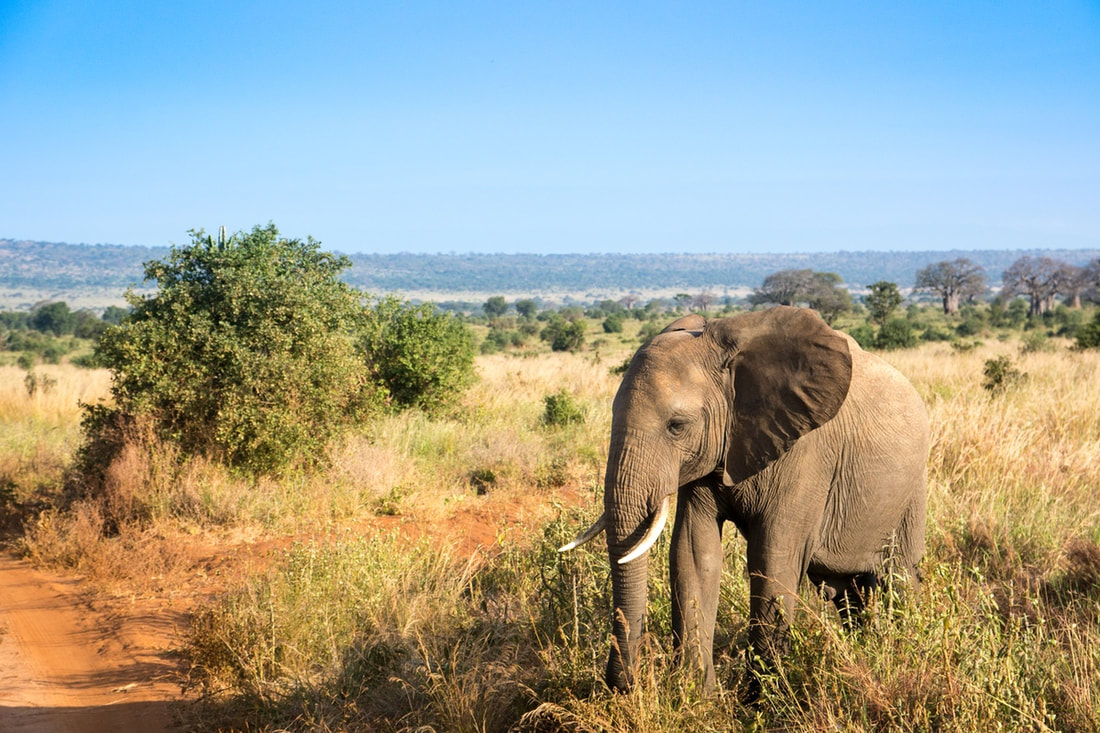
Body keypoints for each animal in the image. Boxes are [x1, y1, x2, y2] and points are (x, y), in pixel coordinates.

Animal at [560, 306, 929, 694]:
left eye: (676, 426)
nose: (625, 686)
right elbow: (693, 552)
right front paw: (698, 695)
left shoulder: (807, 452)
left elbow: (772, 558)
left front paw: (762, 699)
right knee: (848, 593)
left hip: (911, 489)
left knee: (901, 579)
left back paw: (901, 651)